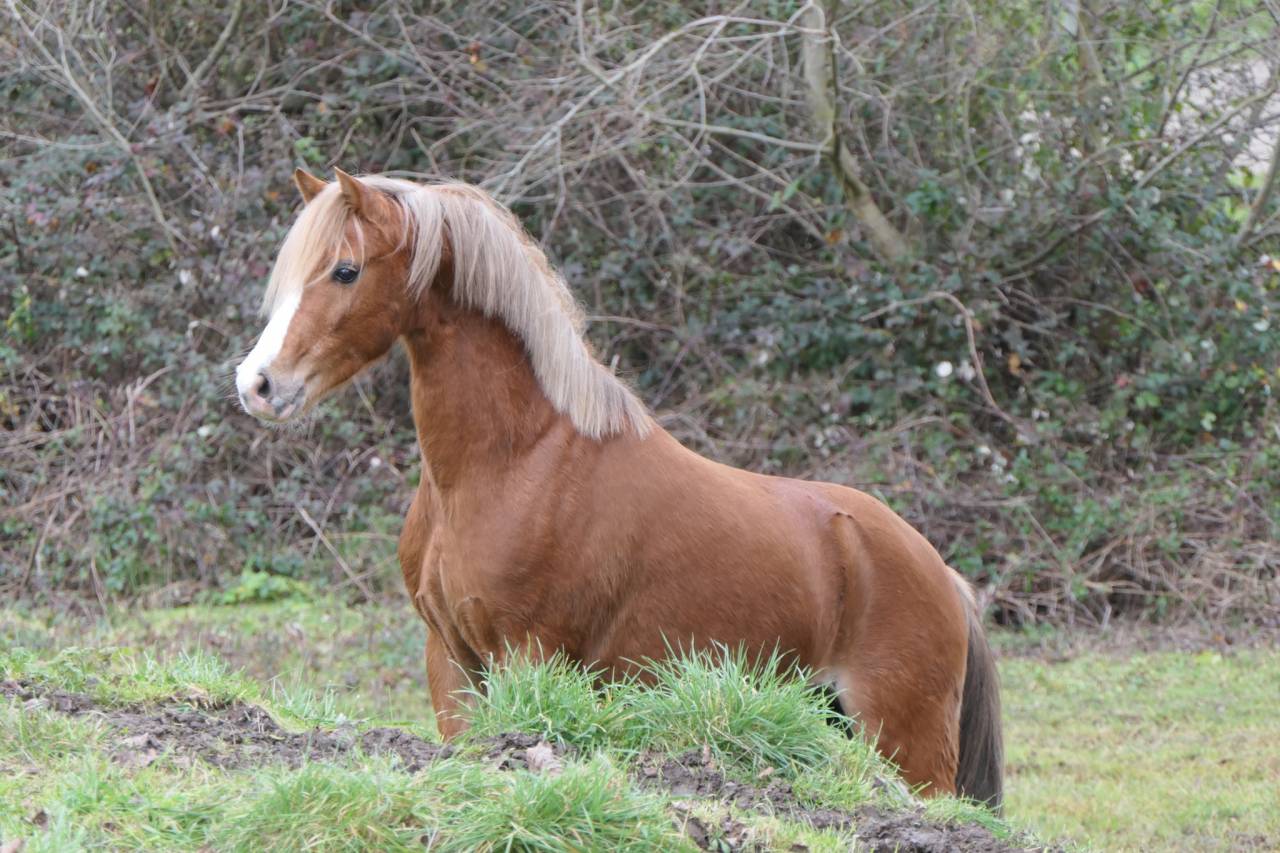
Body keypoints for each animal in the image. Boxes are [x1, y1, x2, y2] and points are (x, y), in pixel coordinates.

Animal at [234, 167, 1004, 808]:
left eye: (345, 270)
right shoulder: (451, 660)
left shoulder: (529, 657)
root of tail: (944, 578)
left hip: (906, 747)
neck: (518, 461)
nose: (257, 384)